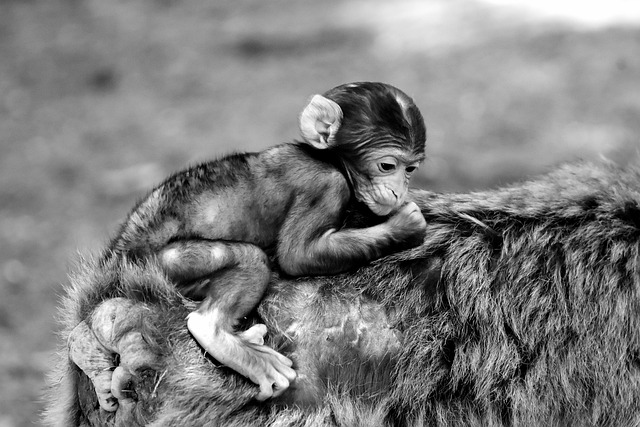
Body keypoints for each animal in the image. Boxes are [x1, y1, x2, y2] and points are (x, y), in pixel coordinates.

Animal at [86, 81, 424, 408]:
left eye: (410, 170)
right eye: (387, 166)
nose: (399, 190)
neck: (329, 160)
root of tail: (116, 256)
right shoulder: (325, 186)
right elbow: (297, 256)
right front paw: (405, 224)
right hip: (162, 264)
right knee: (249, 261)